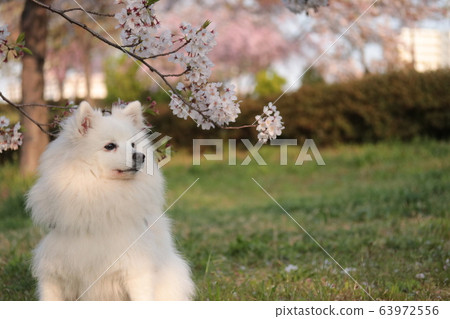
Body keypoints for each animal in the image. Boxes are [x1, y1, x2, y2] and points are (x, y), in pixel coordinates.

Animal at [27, 101, 194, 302]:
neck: (102, 191)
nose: (140, 156)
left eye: (133, 145)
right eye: (110, 146)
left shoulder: (136, 270)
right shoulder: (53, 272)